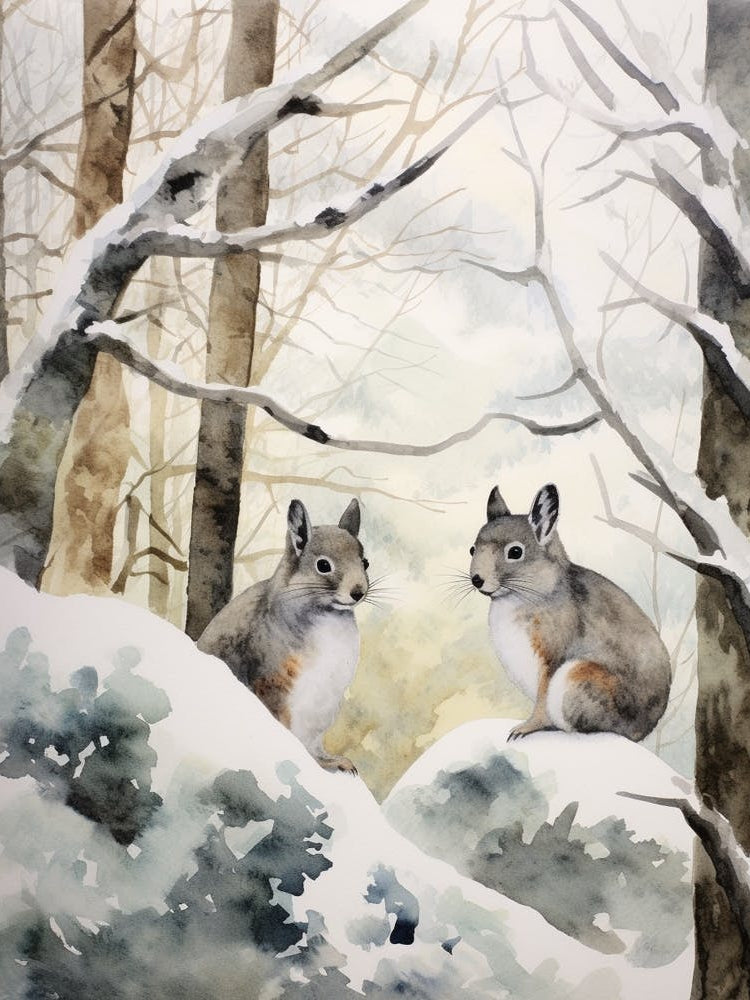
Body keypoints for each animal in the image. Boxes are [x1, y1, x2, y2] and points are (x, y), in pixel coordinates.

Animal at [197, 498, 369, 774]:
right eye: (323, 565)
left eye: (365, 562)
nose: (358, 592)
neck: (328, 615)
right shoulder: (273, 685)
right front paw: (317, 763)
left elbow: (316, 745)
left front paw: (333, 760)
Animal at [469, 483, 671, 742]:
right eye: (472, 549)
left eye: (515, 552)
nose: (477, 580)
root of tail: (640, 731)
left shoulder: (551, 657)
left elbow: (541, 701)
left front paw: (524, 728)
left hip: (577, 678)